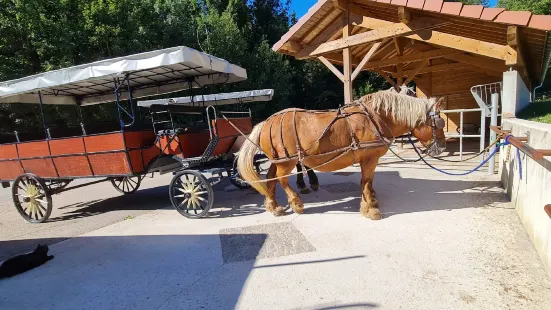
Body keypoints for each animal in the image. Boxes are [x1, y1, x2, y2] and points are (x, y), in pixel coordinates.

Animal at [239, 89, 446, 220]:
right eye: (440, 123)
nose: (441, 147)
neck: (376, 117)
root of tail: (267, 122)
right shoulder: (369, 157)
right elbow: (366, 181)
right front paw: (370, 208)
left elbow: (367, 181)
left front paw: (371, 201)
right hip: (286, 161)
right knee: (281, 179)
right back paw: (296, 203)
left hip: (278, 160)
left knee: (271, 178)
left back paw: (273, 205)